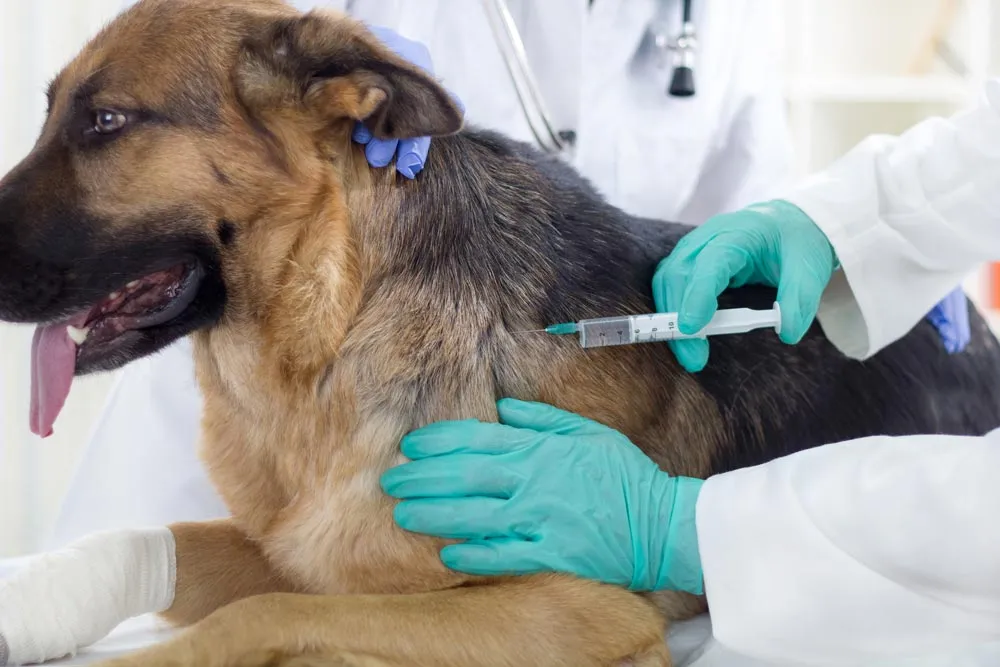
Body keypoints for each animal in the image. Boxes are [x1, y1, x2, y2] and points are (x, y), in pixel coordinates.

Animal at [1, 1, 1000, 667]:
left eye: (106, 121)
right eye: (52, 112)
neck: (338, 324)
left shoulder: (572, 607)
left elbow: (262, 618)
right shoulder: (301, 547)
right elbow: (155, 540)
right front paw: (32, 600)